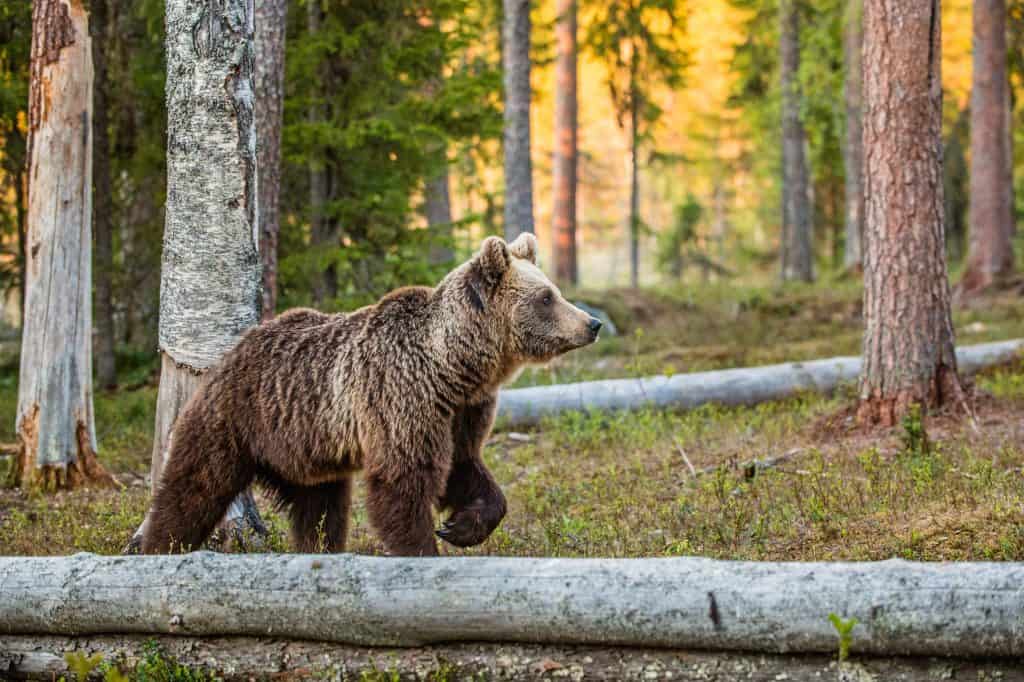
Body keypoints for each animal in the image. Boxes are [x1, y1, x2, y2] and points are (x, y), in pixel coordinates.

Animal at [141, 233, 602, 556]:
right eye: (547, 297)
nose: (592, 323)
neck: (455, 366)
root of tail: (231, 352)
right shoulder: (402, 394)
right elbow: (403, 479)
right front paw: (422, 548)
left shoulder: (461, 410)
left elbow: (464, 465)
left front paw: (461, 526)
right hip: (235, 418)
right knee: (195, 484)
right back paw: (160, 546)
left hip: (309, 449)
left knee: (321, 511)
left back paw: (321, 549)